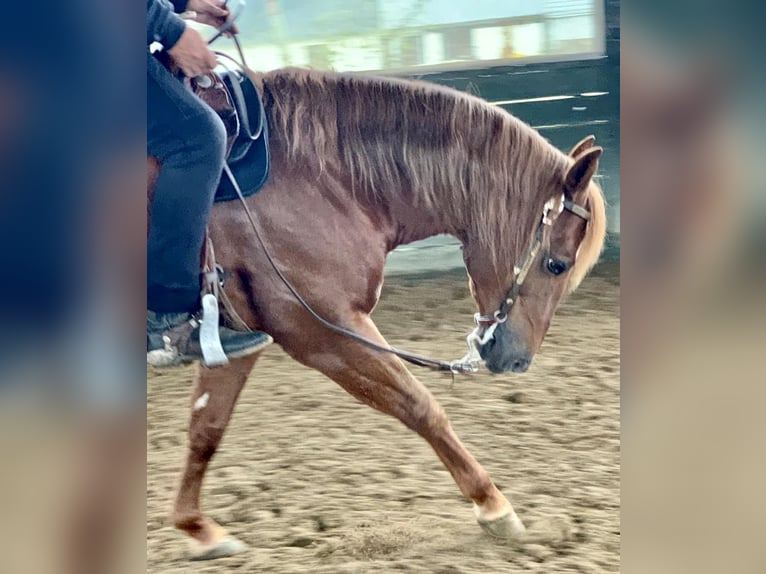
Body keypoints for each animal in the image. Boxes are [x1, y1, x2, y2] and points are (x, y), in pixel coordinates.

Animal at [147, 67, 608, 564]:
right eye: (556, 264)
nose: (517, 359)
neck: (320, 177)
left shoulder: (238, 339)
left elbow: (206, 427)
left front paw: (198, 529)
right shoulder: (324, 330)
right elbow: (420, 406)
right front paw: (494, 507)